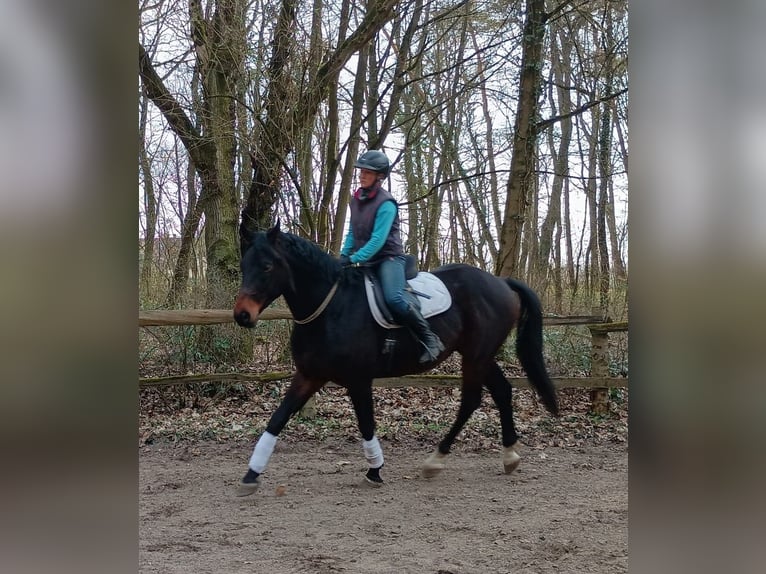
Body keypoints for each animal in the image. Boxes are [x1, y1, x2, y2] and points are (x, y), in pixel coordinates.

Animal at [232, 222, 558, 496]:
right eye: (244, 265)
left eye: (267, 266)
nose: (242, 316)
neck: (330, 307)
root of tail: (501, 281)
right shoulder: (309, 376)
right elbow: (277, 419)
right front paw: (251, 475)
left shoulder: (358, 380)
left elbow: (366, 424)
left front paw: (375, 470)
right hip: (478, 355)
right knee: (502, 391)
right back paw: (509, 456)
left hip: (476, 357)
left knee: (471, 401)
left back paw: (436, 460)